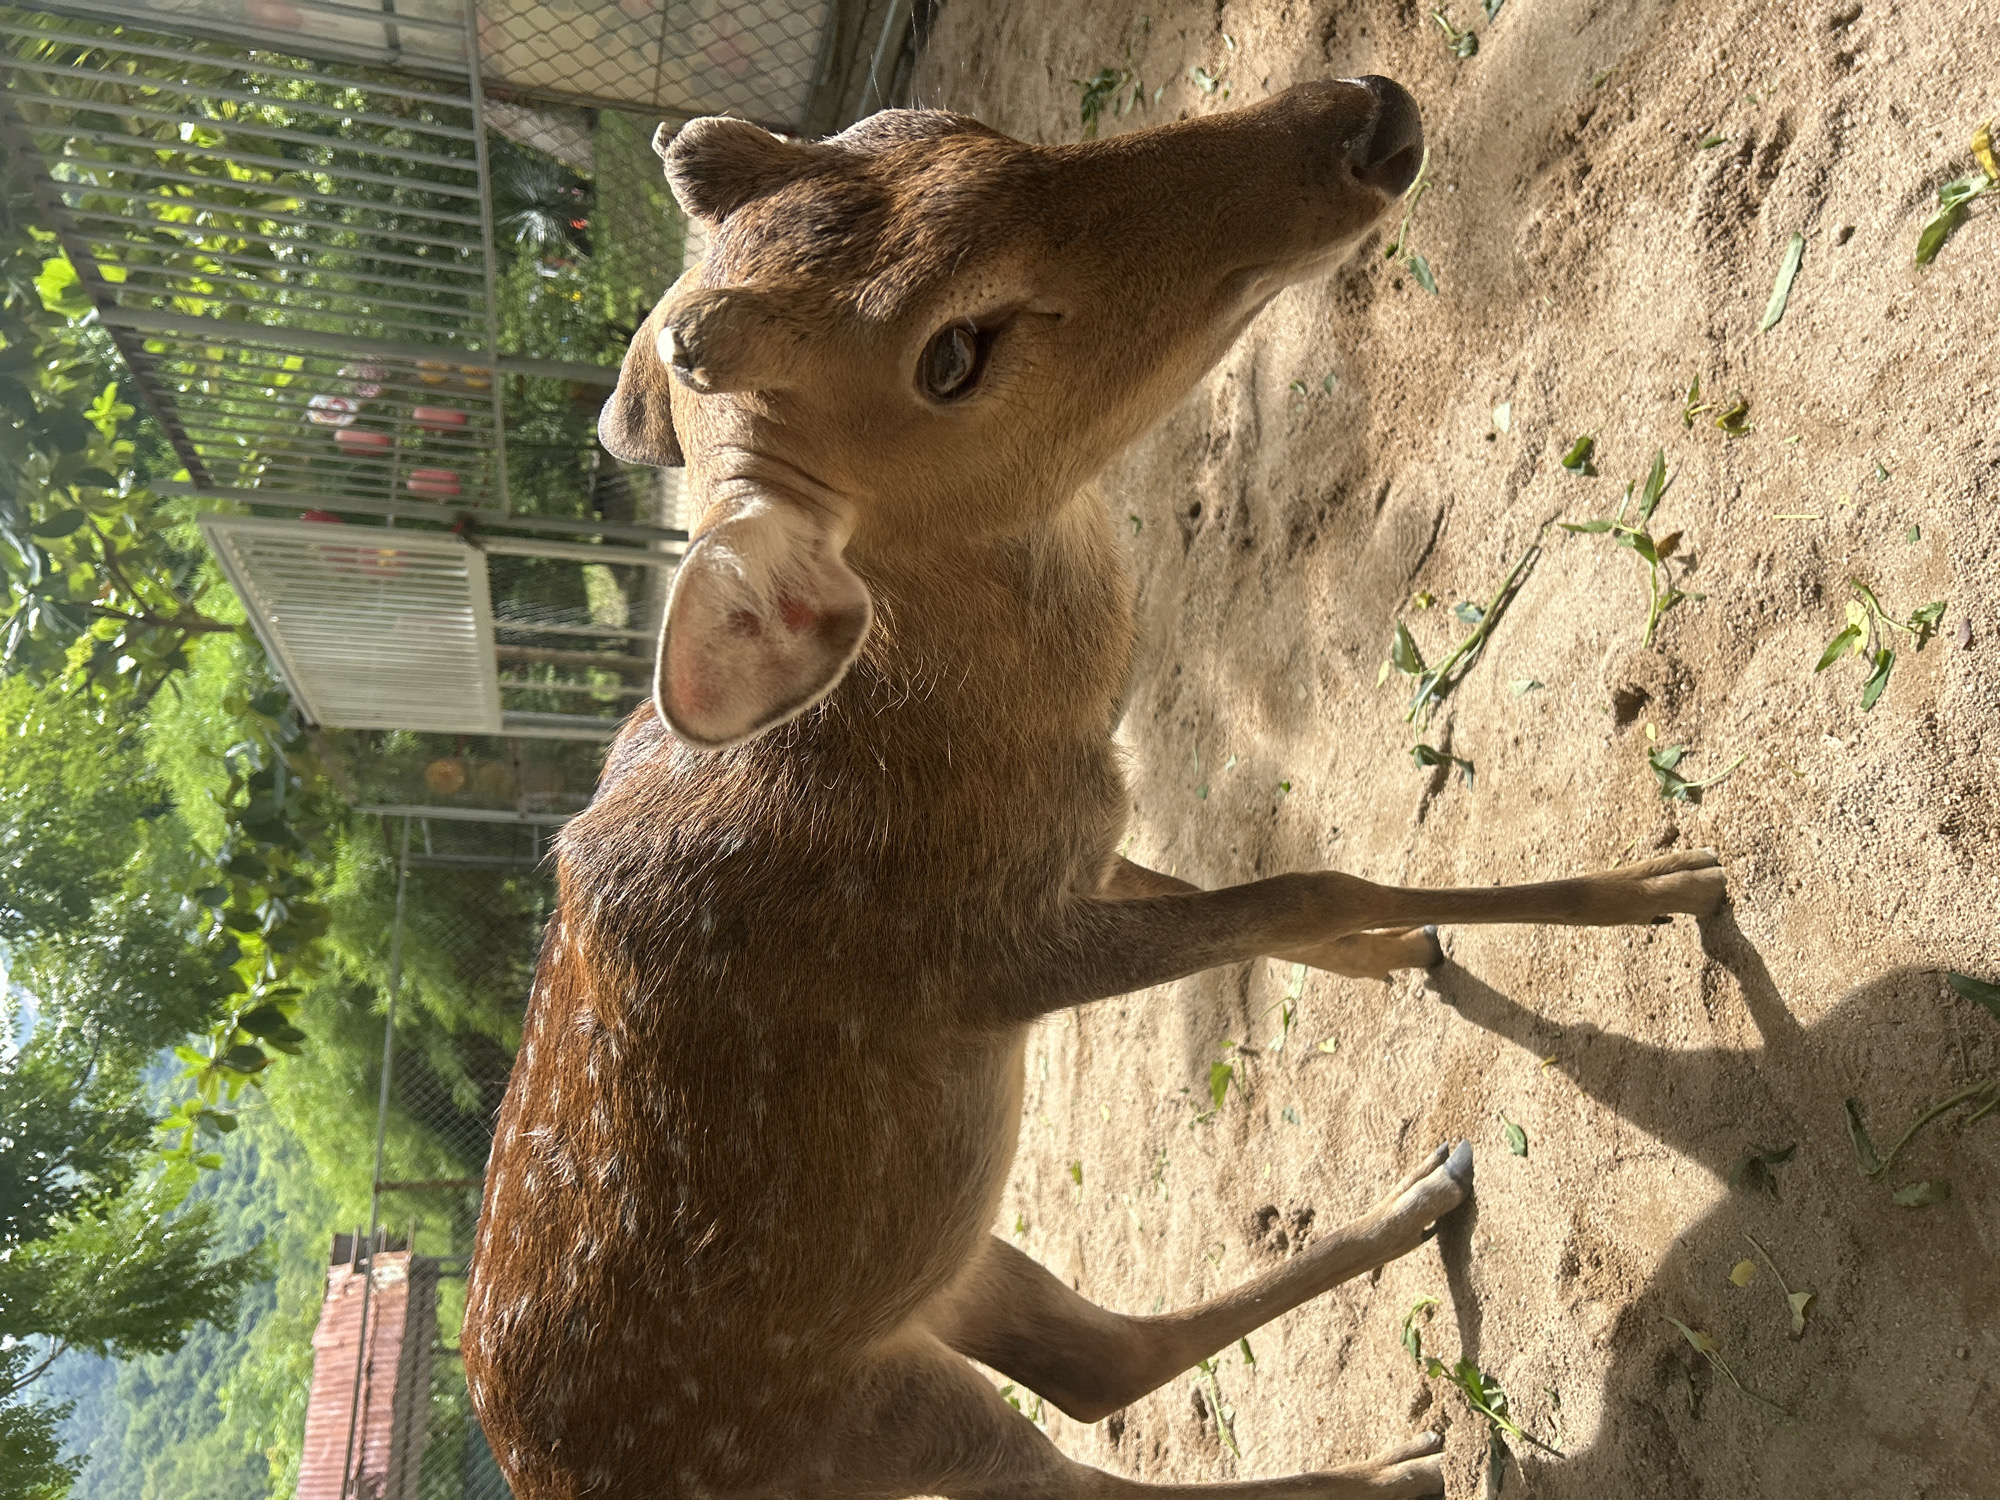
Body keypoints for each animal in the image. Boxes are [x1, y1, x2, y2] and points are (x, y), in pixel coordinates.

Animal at [461, 75, 1727, 1500]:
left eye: (943, 127)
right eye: (950, 357)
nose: (1365, 112)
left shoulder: (1086, 843)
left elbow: (1239, 890)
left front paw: (1408, 951)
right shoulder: (988, 958)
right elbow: (1301, 882)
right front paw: (1660, 880)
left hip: (946, 1273)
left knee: (1093, 1360)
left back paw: (1430, 1211)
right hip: (837, 1410)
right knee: (1065, 1454)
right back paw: (1396, 1459)